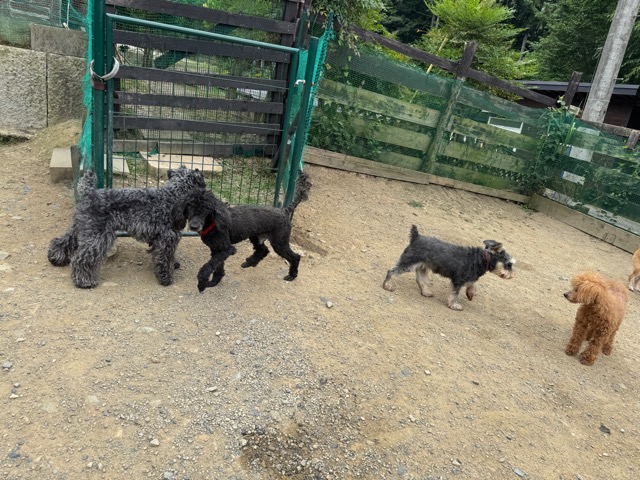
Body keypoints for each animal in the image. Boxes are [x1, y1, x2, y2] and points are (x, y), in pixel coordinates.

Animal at [48, 166, 206, 288]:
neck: (173, 196)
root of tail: (88, 193)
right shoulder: (167, 238)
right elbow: (165, 258)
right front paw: (166, 278)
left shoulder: (162, 239)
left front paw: (174, 264)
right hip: (97, 235)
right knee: (81, 258)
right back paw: (84, 281)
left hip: (81, 228)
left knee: (61, 242)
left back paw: (56, 258)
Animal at [172, 171, 312, 292]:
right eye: (189, 206)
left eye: (206, 209)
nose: (194, 226)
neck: (213, 222)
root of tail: (284, 210)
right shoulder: (217, 250)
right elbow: (217, 267)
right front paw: (215, 282)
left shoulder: (227, 249)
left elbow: (208, 267)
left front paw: (202, 283)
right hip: (255, 237)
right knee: (263, 250)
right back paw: (250, 262)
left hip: (279, 242)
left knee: (295, 257)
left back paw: (292, 275)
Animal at [382, 225, 515, 310]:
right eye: (509, 264)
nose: (512, 276)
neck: (482, 259)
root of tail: (416, 237)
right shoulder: (458, 280)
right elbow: (454, 294)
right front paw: (454, 305)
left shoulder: (468, 277)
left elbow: (473, 284)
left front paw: (470, 294)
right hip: (408, 263)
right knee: (392, 271)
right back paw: (387, 285)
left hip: (422, 266)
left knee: (420, 279)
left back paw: (426, 292)